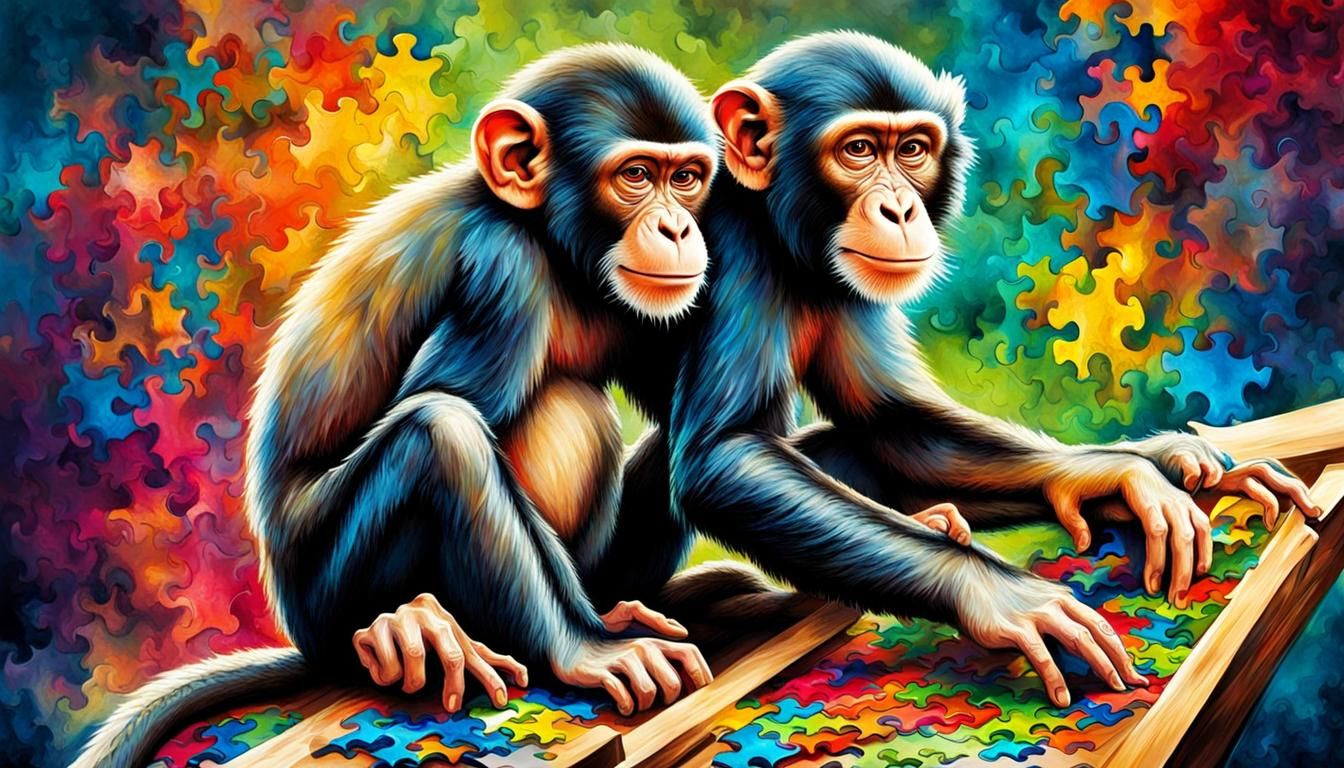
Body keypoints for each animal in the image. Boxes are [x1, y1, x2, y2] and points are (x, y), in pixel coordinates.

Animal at [72, 44, 731, 768]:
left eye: (688, 178)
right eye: (635, 175)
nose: (677, 227)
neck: (553, 246)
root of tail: (306, 642)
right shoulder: (501, 271)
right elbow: (455, 421)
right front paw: (588, 650)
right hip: (330, 598)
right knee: (442, 433)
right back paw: (414, 626)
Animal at [656, 31, 1320, 709]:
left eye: (913, 149)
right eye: (858, 149)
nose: (900, 211)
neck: (778, 226)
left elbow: (894, 421)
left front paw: (1131, 471)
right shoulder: (739, 252)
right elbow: (729, 454)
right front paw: (998, 593)